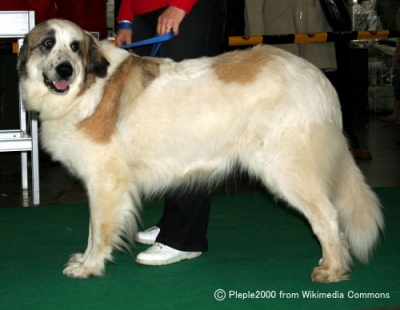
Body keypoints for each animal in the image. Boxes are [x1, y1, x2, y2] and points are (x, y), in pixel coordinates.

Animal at [17, 18, 382, 282]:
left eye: (75, 47)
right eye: (48, 44)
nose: (65, 70)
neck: (86, 87)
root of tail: (319, 79)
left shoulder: (104, 184)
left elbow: (98, 231)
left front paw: (89, 266)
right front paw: (85, 260)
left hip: (285, 169)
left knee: (327, 216)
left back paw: (332, 269)